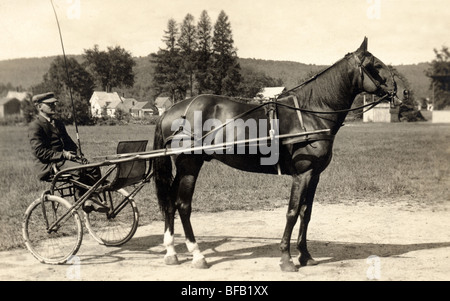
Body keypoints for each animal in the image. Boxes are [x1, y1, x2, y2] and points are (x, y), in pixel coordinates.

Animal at [153, 36, 400, 270]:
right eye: (376, 65)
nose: (401, 91)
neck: (311, 112)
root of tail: (171, 110)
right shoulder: (303, 174)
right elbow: (292, 212)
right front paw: (286, 258)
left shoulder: (315, 175)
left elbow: (306, 213)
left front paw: (305, 255)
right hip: (190, 166)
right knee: (183, 205)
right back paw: (197, 255)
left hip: (183, 168)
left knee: (170, 203)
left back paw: (171, 252)